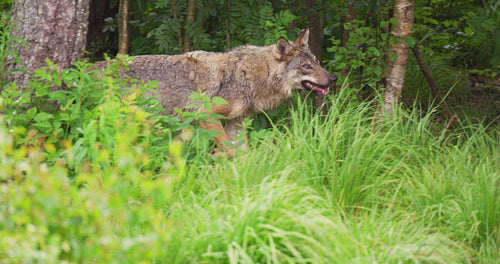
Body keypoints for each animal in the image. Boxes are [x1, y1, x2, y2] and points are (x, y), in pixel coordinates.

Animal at [95, 29, 336, 157]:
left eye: (317, 62)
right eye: (306, 67)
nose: (333, 79)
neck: (250, 75)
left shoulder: (237, 124)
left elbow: (243, 155)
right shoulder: (206, 115)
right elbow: (230, 151)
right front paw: (217, 156)